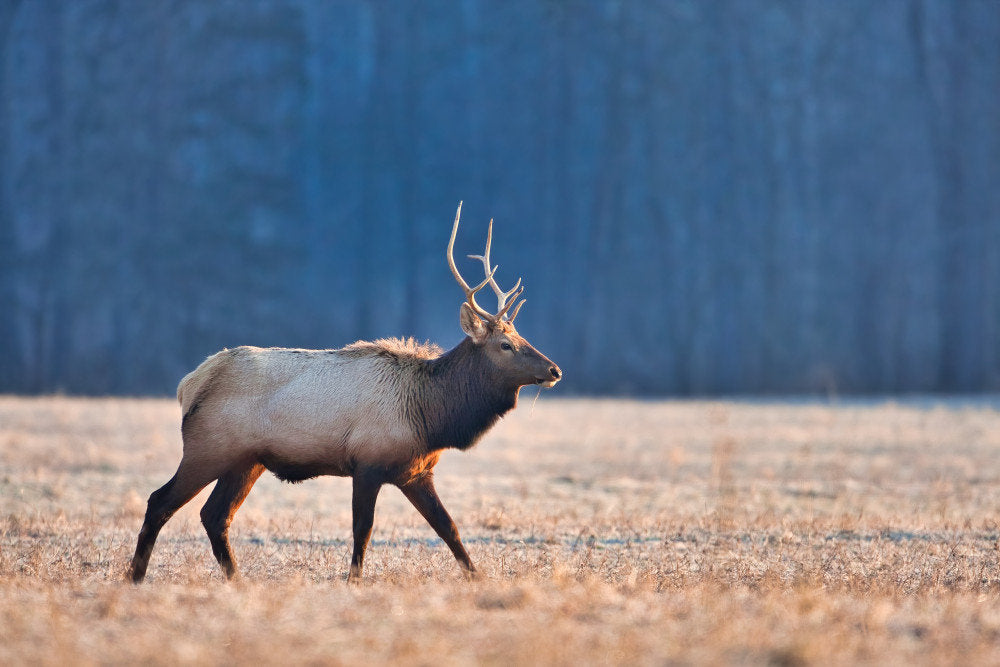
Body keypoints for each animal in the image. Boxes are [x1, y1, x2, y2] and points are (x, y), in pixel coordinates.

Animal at [127, 203, 561, 583]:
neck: (431, 414)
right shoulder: (368, 463)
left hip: (245, 461)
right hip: (208, 449)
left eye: (521, 337)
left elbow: (448, 528)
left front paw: (478, 577)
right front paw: (353, 581)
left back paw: (236, 580)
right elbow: (363, 529)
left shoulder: (417, 471)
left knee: (215, 515)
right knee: (160, 501)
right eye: (505, 345)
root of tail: (191, 384)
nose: (554, 370)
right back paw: (135, 576)